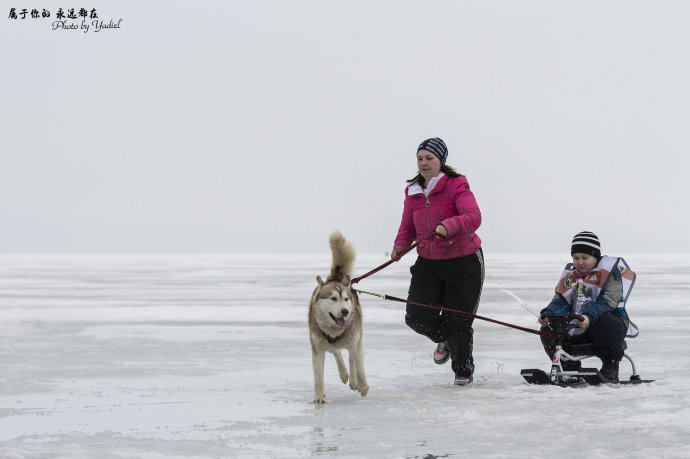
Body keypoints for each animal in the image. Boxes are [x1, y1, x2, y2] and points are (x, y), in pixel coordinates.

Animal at [310, 232, 368, 404]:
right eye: (333, 298)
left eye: (346, 299)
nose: (345, 312)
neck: (335, 331)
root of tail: (335, 279)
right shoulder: (317, 348)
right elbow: (318, 377)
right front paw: (319, 397)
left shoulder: (357, 342)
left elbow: (360, 368)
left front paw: (363, 387)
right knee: (336, 352)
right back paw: (343, 373)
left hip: (354, 339)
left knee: (351, 358)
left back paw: (354, 381)